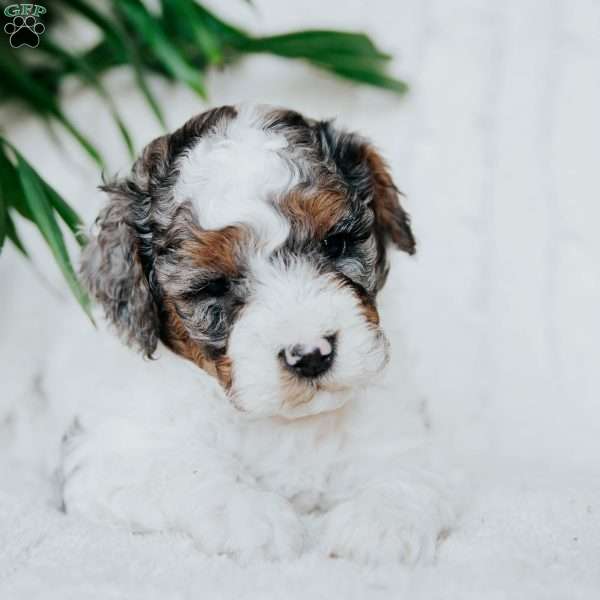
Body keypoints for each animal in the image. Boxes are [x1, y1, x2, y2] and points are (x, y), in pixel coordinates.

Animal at [59, 103, 454, 564]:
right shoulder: (108, 455)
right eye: (213, 286)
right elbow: (184, 469)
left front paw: (380, 521)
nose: (311, 354)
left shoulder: (400, 425)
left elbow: (403, 464)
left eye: (336, 243)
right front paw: (251, 516)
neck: (286, 424)